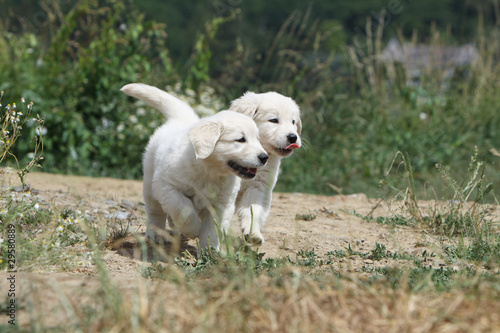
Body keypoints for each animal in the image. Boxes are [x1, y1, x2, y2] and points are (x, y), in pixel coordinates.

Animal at [121, 83, 270, 249]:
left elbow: (212, 229)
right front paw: (193, 230)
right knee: (156, 211)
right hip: (149, 183)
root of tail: (182, 120)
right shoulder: (166, 186)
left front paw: (210, 251)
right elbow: (183, 208)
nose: (264, 157)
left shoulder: (222, 204)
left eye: (257, 139)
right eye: (240, 139)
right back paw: (156, 235)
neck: (209, 171)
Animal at [229, 92, 300, 245]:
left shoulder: (258, 187)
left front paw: (253, 233)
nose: (293, 137)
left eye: (293, 121)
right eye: (273, 120)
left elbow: (253, 211)